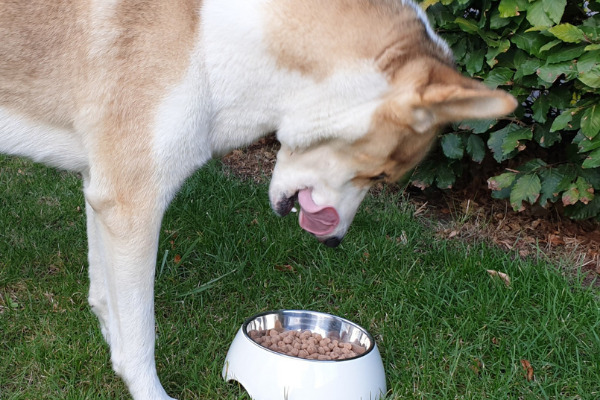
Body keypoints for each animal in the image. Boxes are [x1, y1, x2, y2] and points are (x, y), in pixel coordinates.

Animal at [0, 0, 516, 396]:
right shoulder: (132, 205)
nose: (335, 242)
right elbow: (139, 340)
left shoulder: (102, 194)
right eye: (378, 172)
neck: (214, 33)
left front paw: (110, 345)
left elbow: (108, 304)